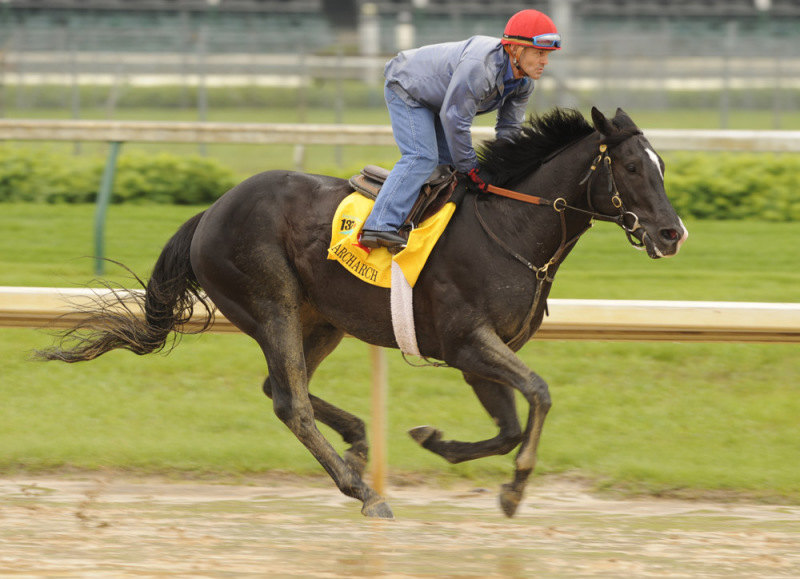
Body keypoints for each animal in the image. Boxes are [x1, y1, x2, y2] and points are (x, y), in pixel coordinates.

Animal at [37, 109, 688, 520]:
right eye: (633, 168)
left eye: (661, 164)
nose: (672, 233)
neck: (511, 228)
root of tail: (211, 210)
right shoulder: (468, 343)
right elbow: (541, 394)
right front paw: (516, 488)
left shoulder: (478, 356)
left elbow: (507, 426)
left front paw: (438, 442)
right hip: (270, 302)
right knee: (291, 402)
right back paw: (362, 490)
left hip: (324, 318)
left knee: (280, 386)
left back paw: (356, 444)